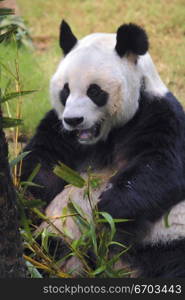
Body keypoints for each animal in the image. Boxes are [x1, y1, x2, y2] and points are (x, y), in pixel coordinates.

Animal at [20, 19, 185, 278]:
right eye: (65, 90)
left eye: (94, 91)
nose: (74, 120)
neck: (105, 137)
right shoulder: (60, 131)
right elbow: (40, 161)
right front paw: (27, 198)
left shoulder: (156, 115)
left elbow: (160, 167)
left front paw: (107, 215)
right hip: (60, 235)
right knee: (48, 246)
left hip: (169, 236)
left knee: (174, 264)